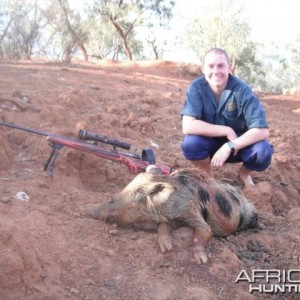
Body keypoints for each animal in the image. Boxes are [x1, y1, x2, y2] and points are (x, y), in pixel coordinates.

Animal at [87, 168, 258, 264]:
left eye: (138, 197)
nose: (89, 210)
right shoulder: (175, 219)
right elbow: (164, 227)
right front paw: (166, 248)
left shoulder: (192, 211)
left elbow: (205, 230)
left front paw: (201, 260)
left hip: (251, 215)